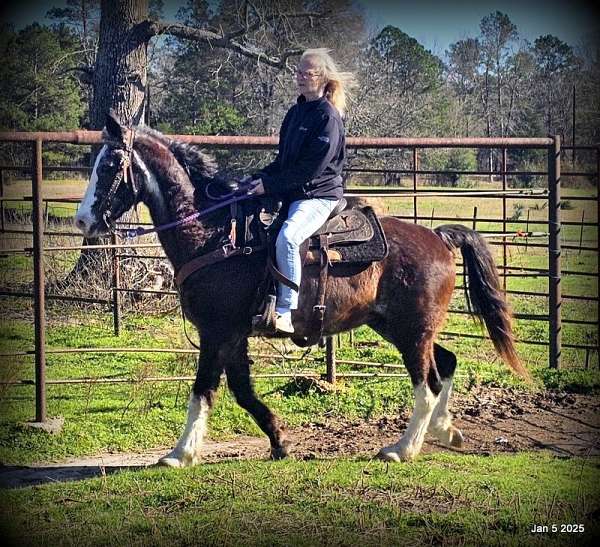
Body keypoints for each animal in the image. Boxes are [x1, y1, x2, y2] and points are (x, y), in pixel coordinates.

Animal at [75, 114, 528, 466]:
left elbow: (203, 388)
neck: (214, 233)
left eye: (111, 164)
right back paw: (445, 431)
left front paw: (180, 453)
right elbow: (242, 391)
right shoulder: (233, 335)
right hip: (402, 327)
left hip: (412, 332)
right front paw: (279, 441)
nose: (82, 221)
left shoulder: (217, 331)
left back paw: (402, 448)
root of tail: (439, 237)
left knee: (427, 383)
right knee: (447, 363)